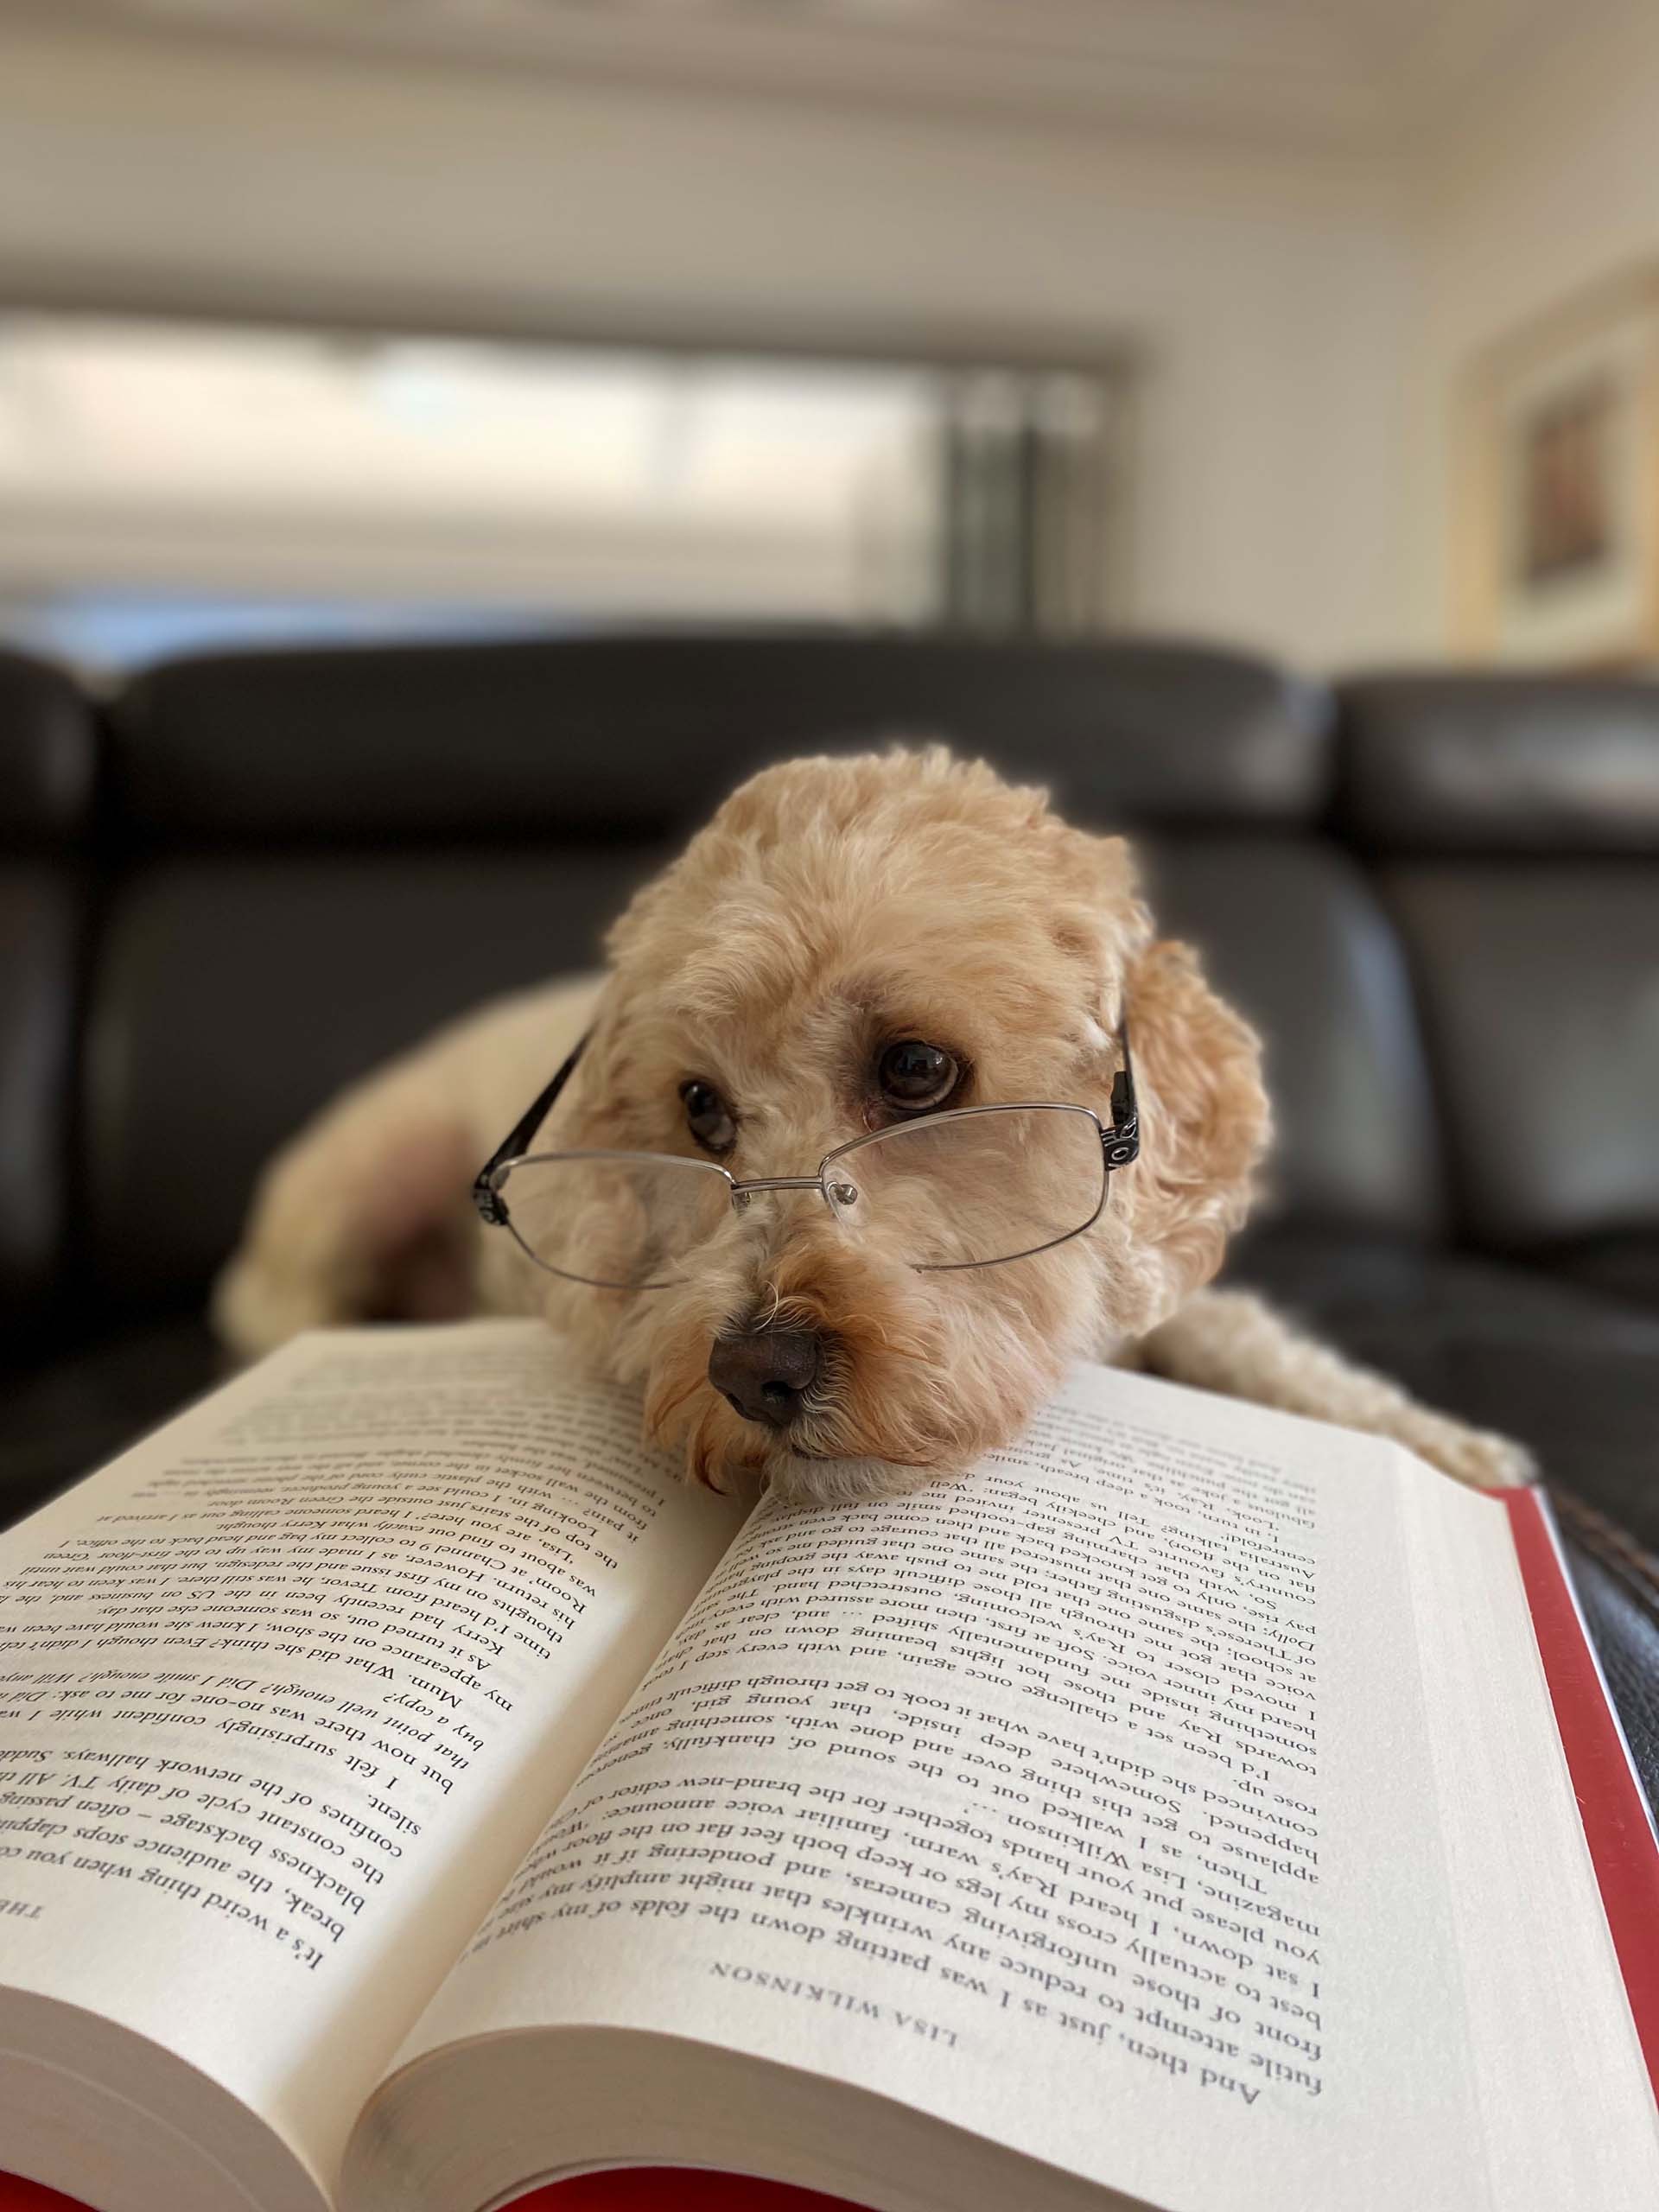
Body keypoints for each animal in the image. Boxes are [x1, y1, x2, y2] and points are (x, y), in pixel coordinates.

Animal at [214, 747, 1539, 1503]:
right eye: (700, 1106)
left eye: (916, 1068)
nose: (756, 1376)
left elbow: (1262, 1349)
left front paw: (1439, 1447)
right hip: (374, 1168)